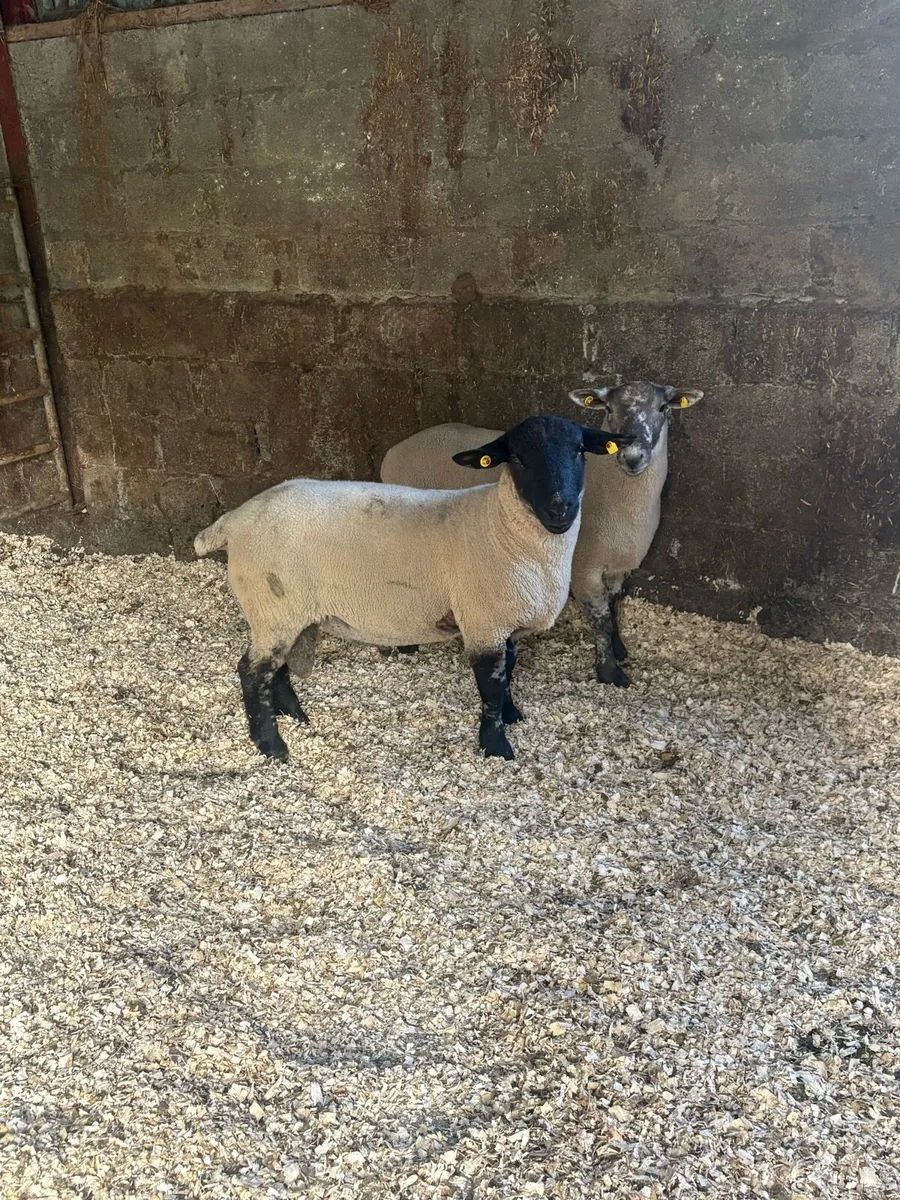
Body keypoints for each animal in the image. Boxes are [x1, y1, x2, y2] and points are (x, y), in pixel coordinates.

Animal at [194, 414, 628, 762]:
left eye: (579, 452)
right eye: (519, 458)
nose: (560, 508)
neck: (501, 527)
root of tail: (233, 520)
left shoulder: (504, 621)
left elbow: (508, 671)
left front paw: (512, 715)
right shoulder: (483, 621)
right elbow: (490, 684)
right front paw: (496, 745)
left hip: (284, 611)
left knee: (275, 669)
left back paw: (294, 716)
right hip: (271, 605)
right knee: (252, 673)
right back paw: (271, 746)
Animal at [380, 380, 703, 687]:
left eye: (663, 408)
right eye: (609, 409)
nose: (633, 457)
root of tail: (393, 451)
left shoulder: (620, 566)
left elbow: (613, 608)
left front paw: (619, 648)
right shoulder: (584, 568)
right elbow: (600, 619)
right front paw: (609, 671)